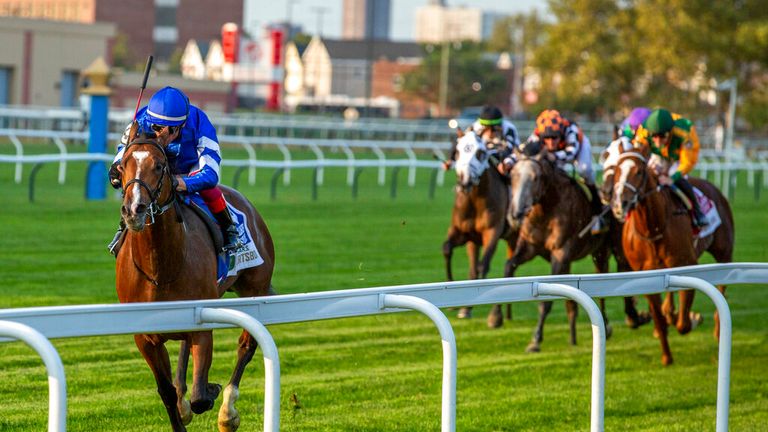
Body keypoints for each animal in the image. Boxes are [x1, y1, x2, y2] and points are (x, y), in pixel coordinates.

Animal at [115, 122, 274, 432]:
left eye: (159, 165)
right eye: (123, 165)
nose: (134, 210)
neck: (159, 267)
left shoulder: (202, 323)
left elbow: (201, 396)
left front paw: (211, 393)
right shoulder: (145, 335)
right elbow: (166, 392)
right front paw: (180, 403)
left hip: (256, 289)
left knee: (246, 345)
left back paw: (227, 411)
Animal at [444, 130, 516, 318]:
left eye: (481, 153)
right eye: (457, 151)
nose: (465, 180)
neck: (475, 200)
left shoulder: (492, 232)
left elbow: (483, 266)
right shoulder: (463, 234)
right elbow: (447, 250)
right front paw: (460, 306)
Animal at [500, 143, 616, 352]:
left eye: (535, 177)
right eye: (513, 176)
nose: (516, 214)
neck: (545, 211)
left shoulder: (561, 253)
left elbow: (546, 301)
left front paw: (536, 339)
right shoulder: (530, 247)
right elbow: (508, 266)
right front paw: (496, 316)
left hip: (602, 251)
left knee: (602, 287)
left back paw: (607, 325)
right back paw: (573, 337)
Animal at [612, 145, 732, 364]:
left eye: (639, 172)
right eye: (616, 169)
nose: (620, 204)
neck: (653, 229)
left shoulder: (687, 264)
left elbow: (683, 324)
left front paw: (692, 318)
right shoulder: (647, 276)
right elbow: (659, 318)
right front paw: (666, 355)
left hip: (724, 251)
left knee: (722, 287)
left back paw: (717, 329)